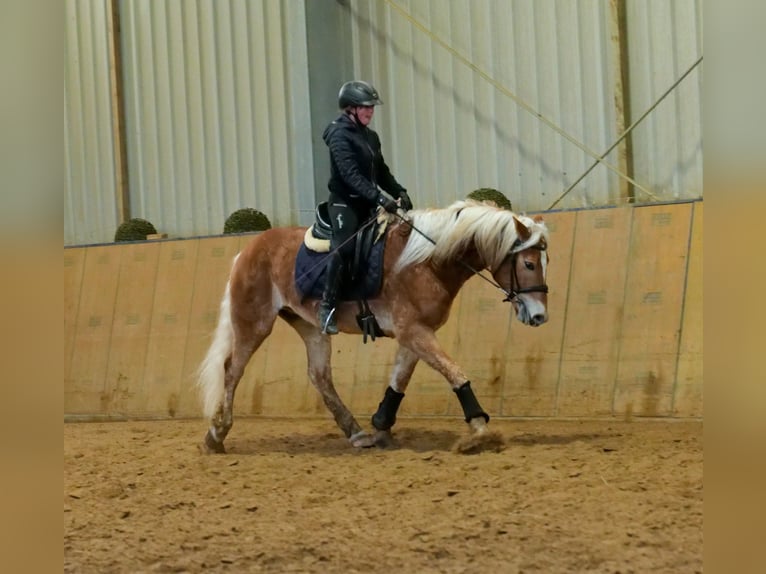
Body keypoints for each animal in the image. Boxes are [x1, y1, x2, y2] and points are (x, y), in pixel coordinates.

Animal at [195, 200, 548, 456]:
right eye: (529, 264)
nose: (540, 316)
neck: (427, 262)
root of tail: (246, 251)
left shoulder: (415, 332)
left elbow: (399, 381)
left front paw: (380, 426)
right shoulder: (413, 331)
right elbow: (454, 372)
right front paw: (480, 430)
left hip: (310, 327)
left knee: (319, 376)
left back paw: (356, 433)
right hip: (254, 323)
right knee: (232, 370)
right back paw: (216, 434)